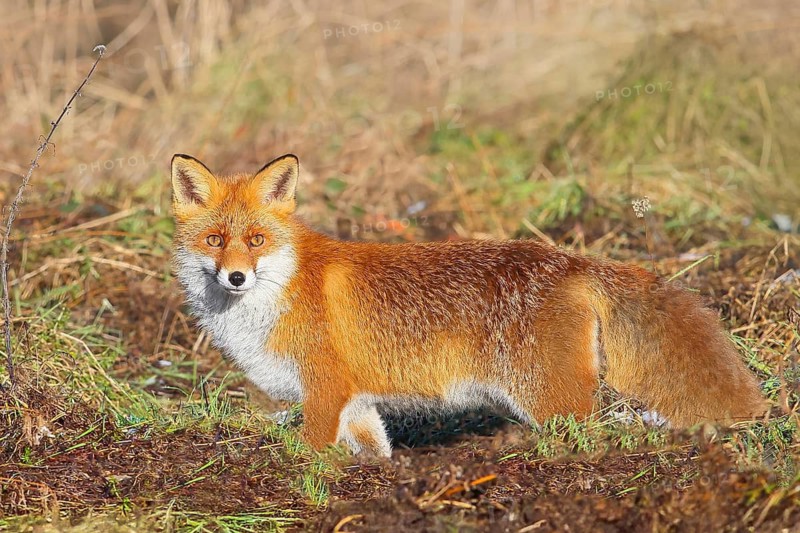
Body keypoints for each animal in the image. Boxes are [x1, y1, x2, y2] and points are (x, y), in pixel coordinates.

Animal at [170, 152, 767, 457]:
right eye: (215, 240)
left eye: (256, 240)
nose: (236, 277)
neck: (278, 295)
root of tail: (572, 260)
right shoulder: (357, 404)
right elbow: (377, 452)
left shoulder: (324, 391)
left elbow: (313, 456)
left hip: (551, 402)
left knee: (597, 438)